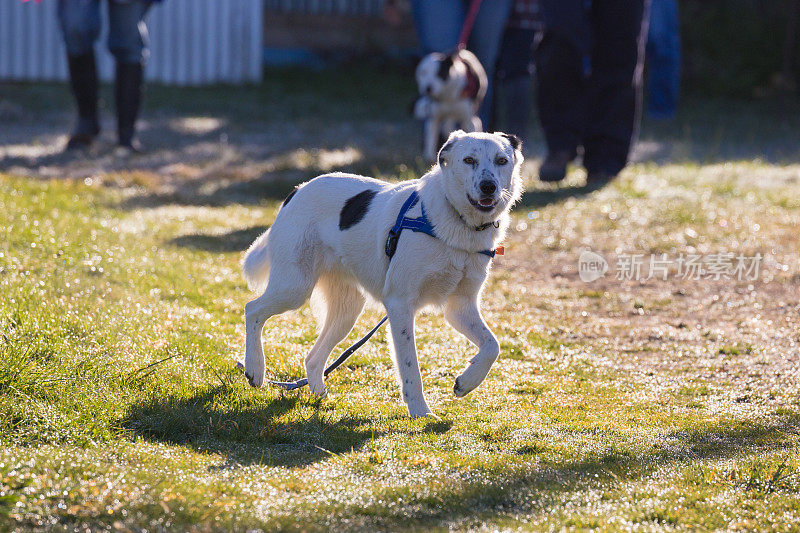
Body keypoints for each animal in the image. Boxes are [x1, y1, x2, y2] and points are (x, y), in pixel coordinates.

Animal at [241, 131, 520, 418]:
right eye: (468, 160)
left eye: (501, 160)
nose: (489, 187)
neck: (457, 221)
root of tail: (298, 190)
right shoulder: (399, 305)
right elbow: (410, 367)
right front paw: (420, 411)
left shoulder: (461, 307)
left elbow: (492, 346)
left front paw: (467, 382)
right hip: (294, 287)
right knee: (253, 310)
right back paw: (255, 369)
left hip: (347, 311)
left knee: (312, 358)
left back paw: (320, 398)